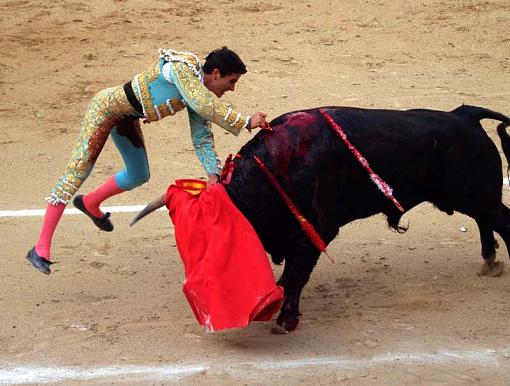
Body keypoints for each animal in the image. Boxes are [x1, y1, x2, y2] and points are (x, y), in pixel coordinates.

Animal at [130, 105, 510, 332]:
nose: (195, 293)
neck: (269, 174)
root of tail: (463, 114)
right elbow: (290, 277)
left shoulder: (314, 233)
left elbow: (293, 277)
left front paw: (284, 319)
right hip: (472, 198)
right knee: (486, 222)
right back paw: (489, 261)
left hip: (477, 194)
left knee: (501, 221)